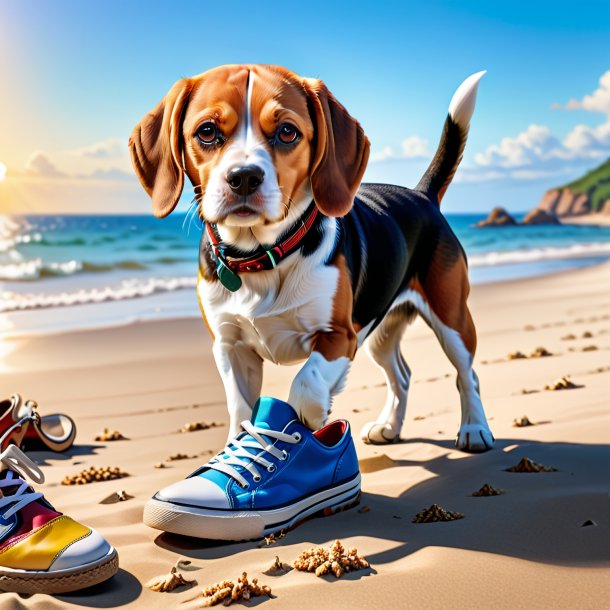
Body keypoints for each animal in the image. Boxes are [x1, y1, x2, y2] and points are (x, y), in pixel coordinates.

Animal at [129, 64, 494, 448]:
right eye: (207, 131)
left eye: (287, 132)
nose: (244, 177)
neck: (261, 256)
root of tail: (422, 195)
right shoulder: (230, 347)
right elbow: (241, 409)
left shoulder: (340, 335)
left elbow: (307, 381)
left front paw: (313, 416)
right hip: (380, 331)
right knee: (402, 375)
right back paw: (389, 426)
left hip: (451, 318)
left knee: (467, 374)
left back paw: (474, 428)